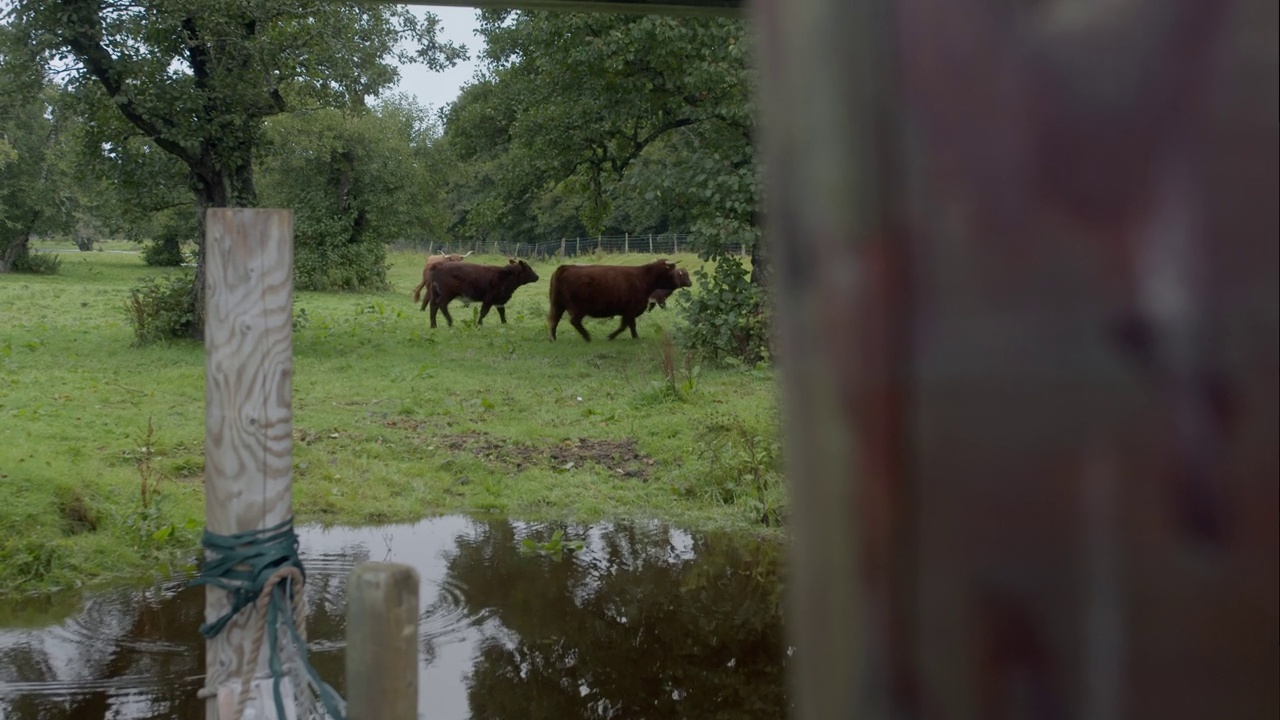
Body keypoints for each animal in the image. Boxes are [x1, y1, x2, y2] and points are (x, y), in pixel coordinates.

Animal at [550, 256, 691, 340]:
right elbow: (628, 325)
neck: (642, 278)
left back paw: (553, 338)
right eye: (672, 271)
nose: (678, 283)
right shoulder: (630, 309)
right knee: (574, 321)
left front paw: (631, 336)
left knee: (554, 320)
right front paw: (617, 336)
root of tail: (566, 267)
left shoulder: (627, 311)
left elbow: (627, 325)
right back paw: (587, 337)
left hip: (557, 303)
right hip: (578, 307)